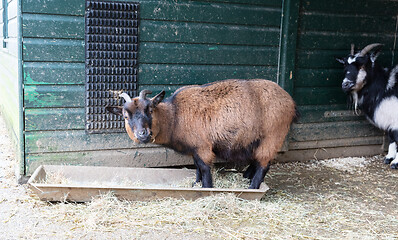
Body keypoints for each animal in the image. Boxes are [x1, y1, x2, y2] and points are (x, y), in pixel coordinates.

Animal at [107, 79, 296, 188]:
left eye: (150, 110)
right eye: (126, 116)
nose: (143, 134)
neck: (175, 115)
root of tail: (290, 101)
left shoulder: (203, 147)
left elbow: (204, 168)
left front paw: (207, 188)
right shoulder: (195, 148)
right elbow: (197, 166)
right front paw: (195, 184)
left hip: (273, 136)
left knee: (264, 164)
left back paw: (252, 188)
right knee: (257, 160)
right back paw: (247, 177)